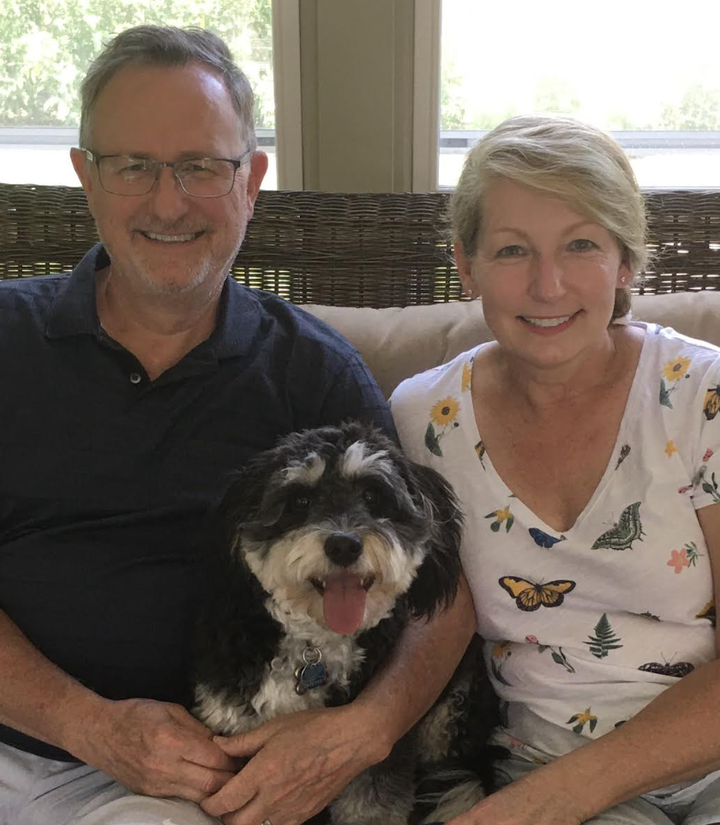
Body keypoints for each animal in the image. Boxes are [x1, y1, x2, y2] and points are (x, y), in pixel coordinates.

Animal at [194, 424, 504, 824]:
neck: (314, 643)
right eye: (300, 501)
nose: (344, 545)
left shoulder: (373, 754)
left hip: (451, 713)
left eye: (373, 494)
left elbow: (371, 806)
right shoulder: (230, 727)